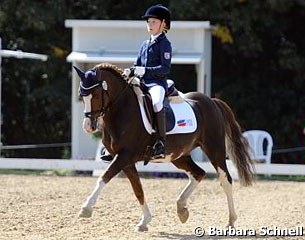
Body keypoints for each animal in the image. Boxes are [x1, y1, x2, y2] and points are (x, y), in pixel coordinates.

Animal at [73, 62, 252, 232]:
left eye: (96, 95)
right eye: (81, 95)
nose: (88, 126)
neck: (122, 110)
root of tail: (212, 101)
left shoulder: (125, 156)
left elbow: (104, 178)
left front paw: (85, 209)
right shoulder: (126, 161)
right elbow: (138, 189)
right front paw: (144, 222)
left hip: (214, 149)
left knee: (225, 180)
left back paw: (230, 221)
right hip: (178, 155)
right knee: (198, 173)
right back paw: (182, 209)